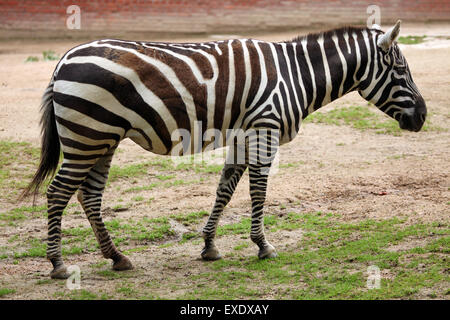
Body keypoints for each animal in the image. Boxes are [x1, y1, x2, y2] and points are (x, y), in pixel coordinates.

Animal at [23, 21, 426, 278]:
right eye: (401, 71)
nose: (423, 117)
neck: (296, 75)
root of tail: (63, 59)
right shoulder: (265, 129)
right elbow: (258, 192)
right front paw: (263, 245)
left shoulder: (242, 136)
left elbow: (225, 189)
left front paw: (209, 246)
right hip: (87, 135)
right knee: (58, 193)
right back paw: (58, 265)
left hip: (101, 139)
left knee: (88, 196)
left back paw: (117, 257)